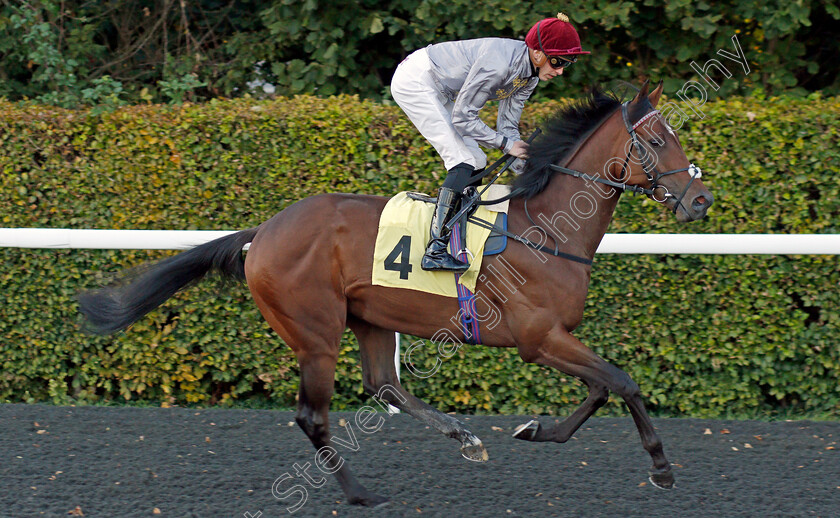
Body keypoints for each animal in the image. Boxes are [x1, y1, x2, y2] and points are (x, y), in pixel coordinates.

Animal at [79, 81, 712, 508]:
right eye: (658, 139)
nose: (701, 200)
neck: (547, 229)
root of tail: (264, 232)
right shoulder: (538, 339)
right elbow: (621, 382)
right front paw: (661, 468)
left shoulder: (555, 337)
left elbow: (602, 388)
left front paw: (536, 430)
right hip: (316, 332)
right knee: (313, 415)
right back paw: (360, 492)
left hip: (371, 317)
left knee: (384, 383)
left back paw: (464, 438)